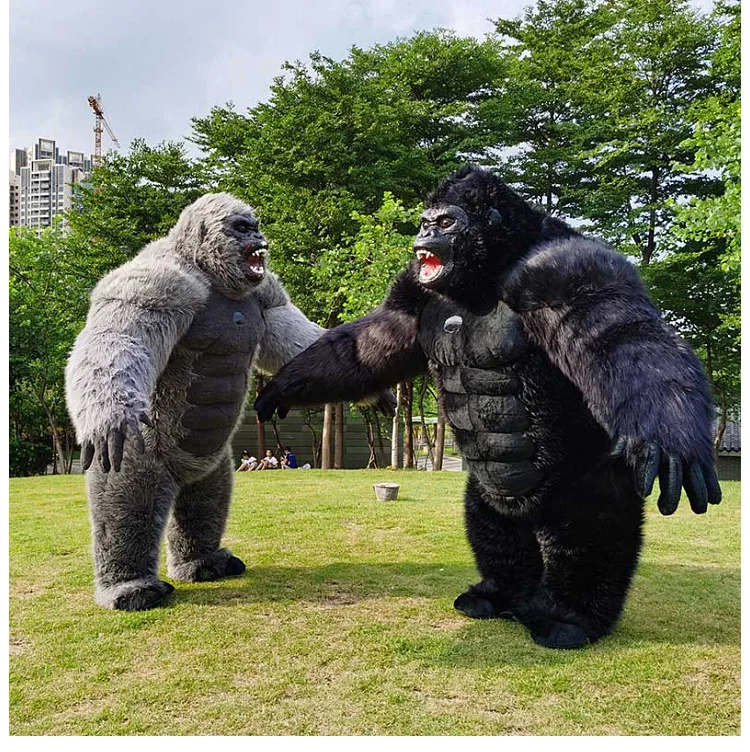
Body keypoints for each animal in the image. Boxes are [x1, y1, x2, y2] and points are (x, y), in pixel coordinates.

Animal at [66, 193, 393, 611]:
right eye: (240, 226)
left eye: (254, 225)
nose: (258, 238)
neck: (209, 273)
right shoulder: (158, 284)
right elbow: (122, 335)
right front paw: (111, 415)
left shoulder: (268, 292)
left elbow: (296, 339)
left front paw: (372, 387)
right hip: (145, 451)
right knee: (128, 500)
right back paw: (131, 586)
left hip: (209, 464)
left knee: (206, 500)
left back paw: (205, 561)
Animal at [254, 166, 721, 649]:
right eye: (426, 222)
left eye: (446, 222)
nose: (424, 236)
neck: (488, 271)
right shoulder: (412, 288)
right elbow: (371, 345)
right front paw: (283, 386)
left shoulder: (566, 271)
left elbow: (624, 337)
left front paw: (673, 437)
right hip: (494, 494)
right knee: (494, 525)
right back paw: (499, 594)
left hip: (584, 480)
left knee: (589, 532)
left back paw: (570, 618)